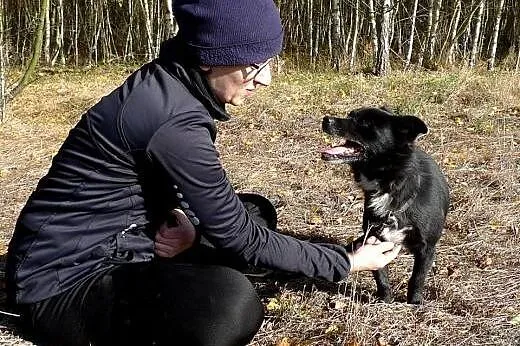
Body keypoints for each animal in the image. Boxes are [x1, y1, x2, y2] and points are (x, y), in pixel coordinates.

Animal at [318, 107, 448, 304]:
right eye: (350, 115)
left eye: (365, 123)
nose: (326, 119)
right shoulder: (374, 237)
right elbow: (380, 273)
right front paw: (385, 299)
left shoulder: (427, 248)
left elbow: (417, 277)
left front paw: (414, 302)